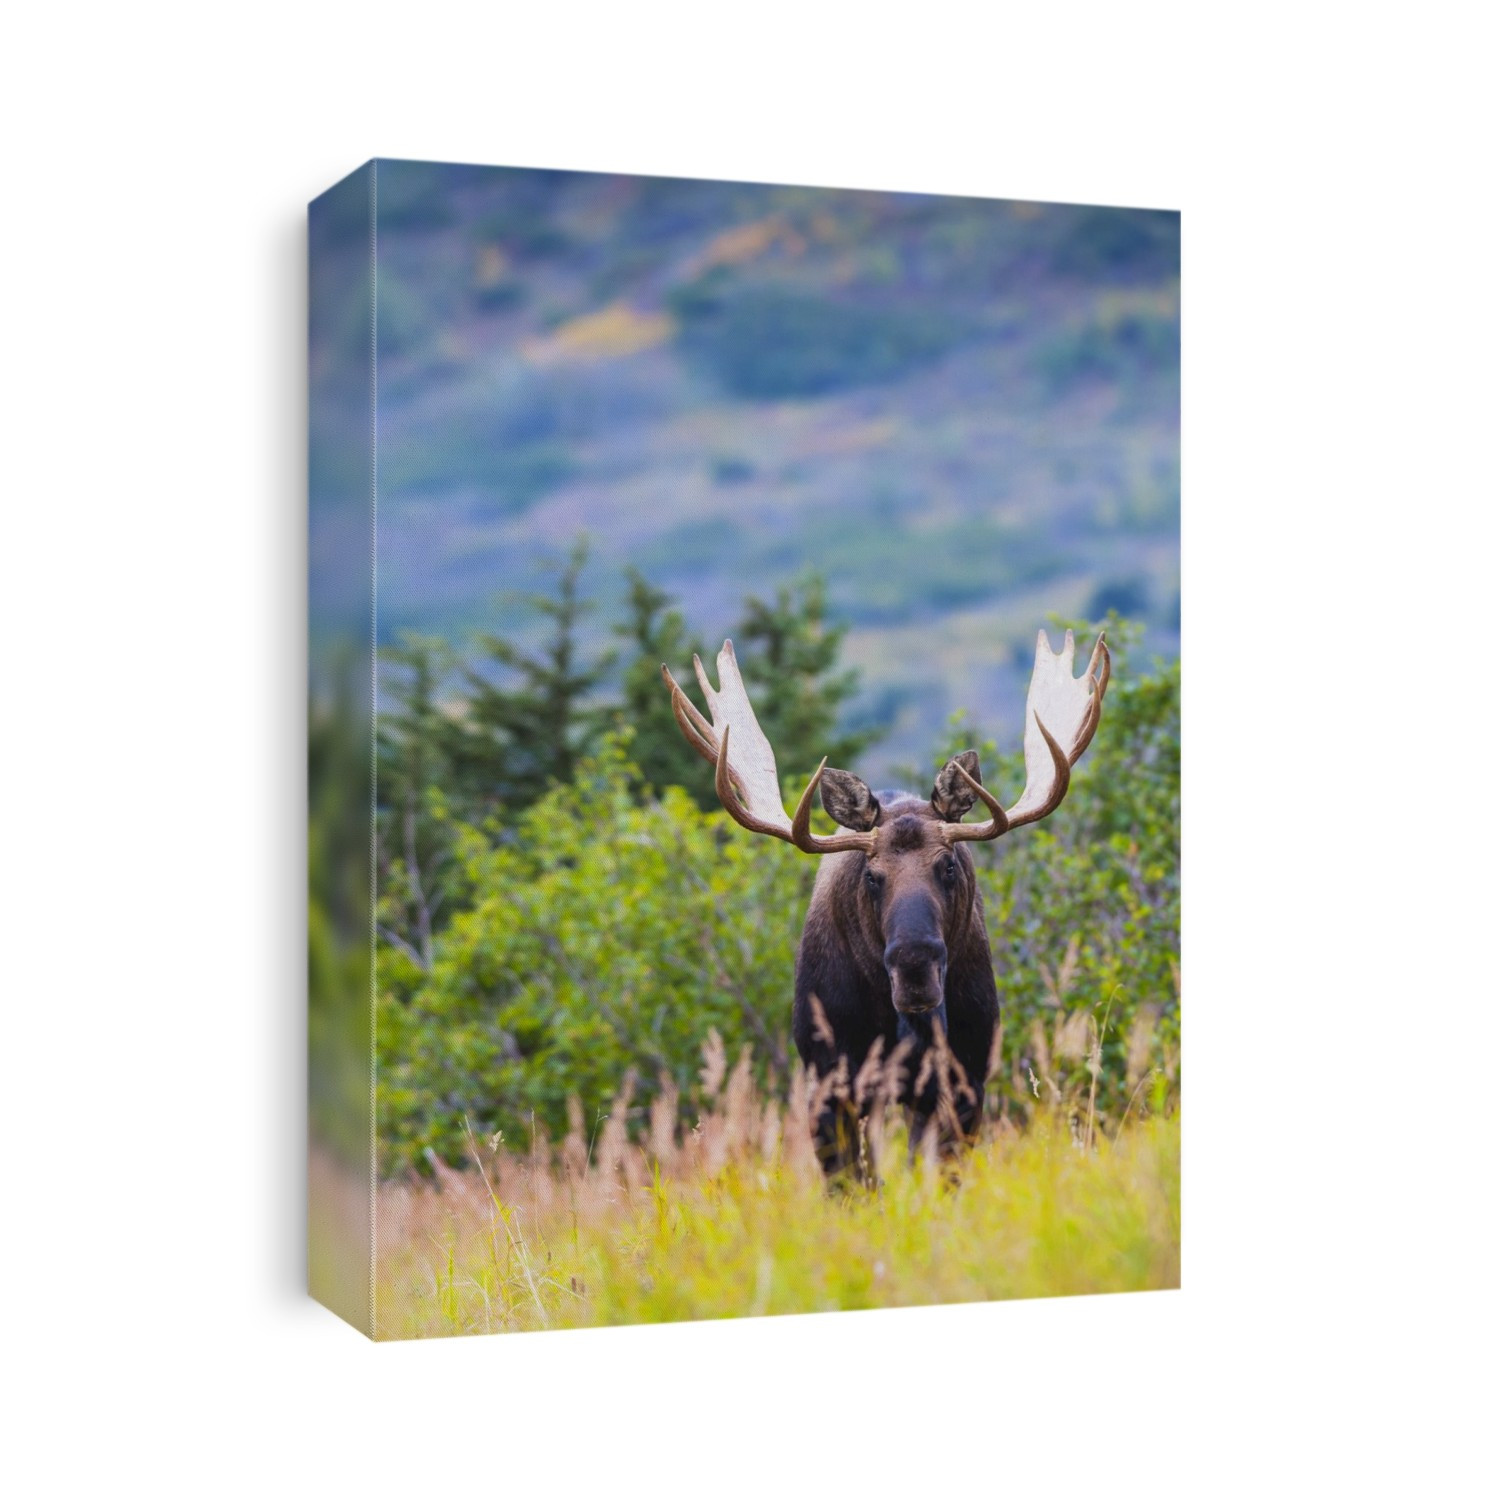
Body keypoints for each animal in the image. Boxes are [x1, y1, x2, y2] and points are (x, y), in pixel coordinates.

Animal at [661, 628, 1109, 1175]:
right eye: (872, 876)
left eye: (949, 865)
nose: (914, 965)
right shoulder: (829, 1084)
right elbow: (852, 1184)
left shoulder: (964, 1079)